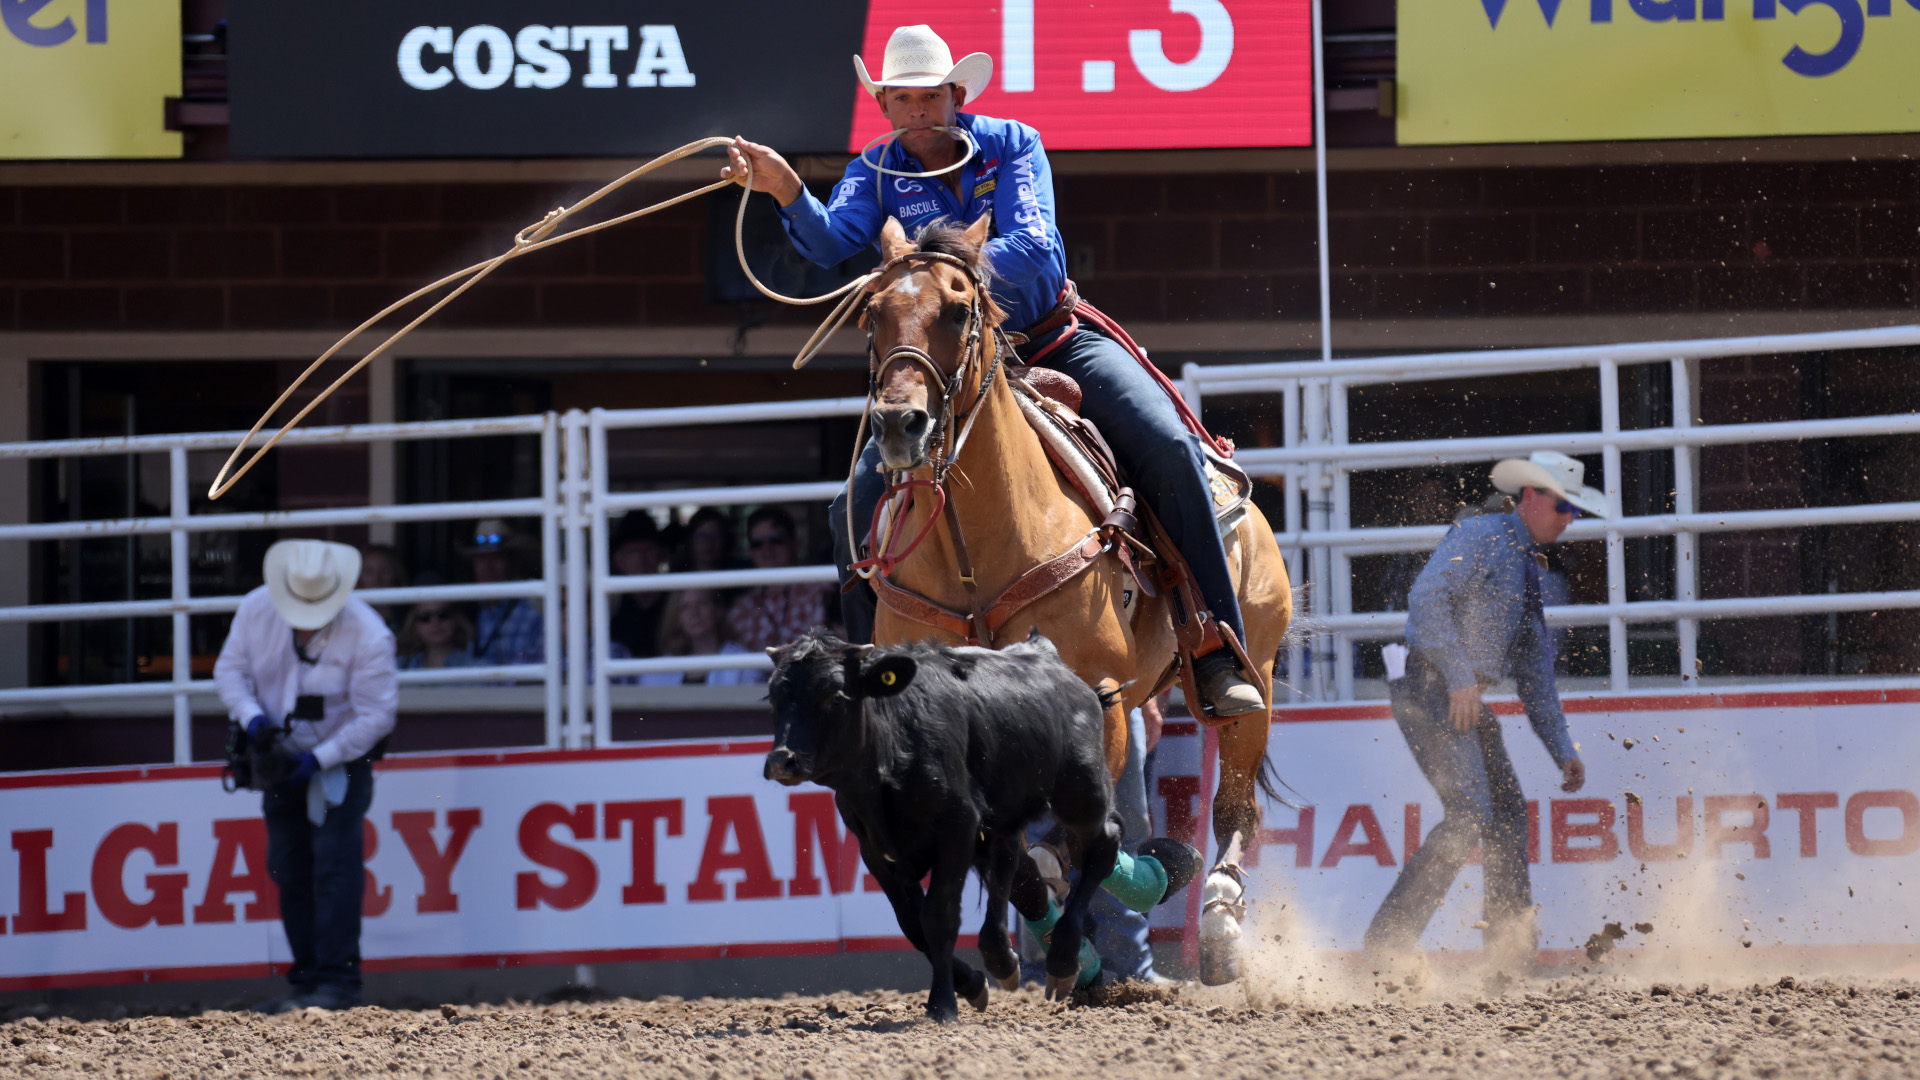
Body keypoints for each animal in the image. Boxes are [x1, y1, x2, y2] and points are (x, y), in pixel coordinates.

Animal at [860, 212, 1297, 983]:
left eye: (957, 310)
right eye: (873, 312)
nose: (897, 424)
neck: (978, 551)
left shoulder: (1103, 696)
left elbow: (1088, 834)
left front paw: (1128, 900)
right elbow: (1010, 847)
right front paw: (1036, 948)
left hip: (1260, 670)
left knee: (1234, 800)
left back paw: (1217, 920)